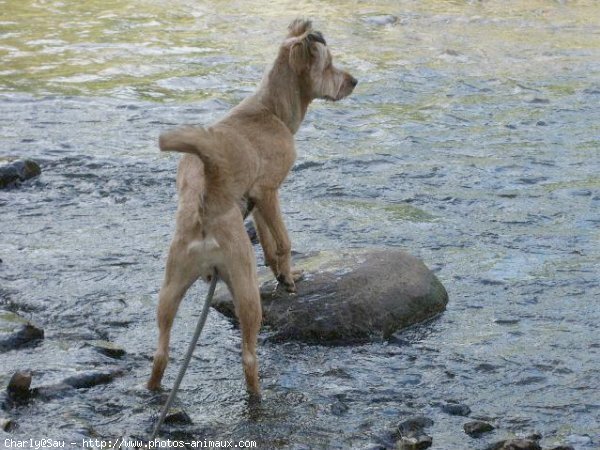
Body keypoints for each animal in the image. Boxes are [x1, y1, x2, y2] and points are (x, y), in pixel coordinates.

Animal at [149, 19, 356, 396]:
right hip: (245, 294)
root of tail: (206, 207)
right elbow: (284, 242)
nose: (354, 81)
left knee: (161, 353)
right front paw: (289, 277)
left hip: (170, 289)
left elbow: (270, 246)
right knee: (248, 357)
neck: (271, 110)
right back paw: (258, 394)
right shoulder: (270, 190)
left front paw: (282, 274)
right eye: (329, 64)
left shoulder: (258, 203)